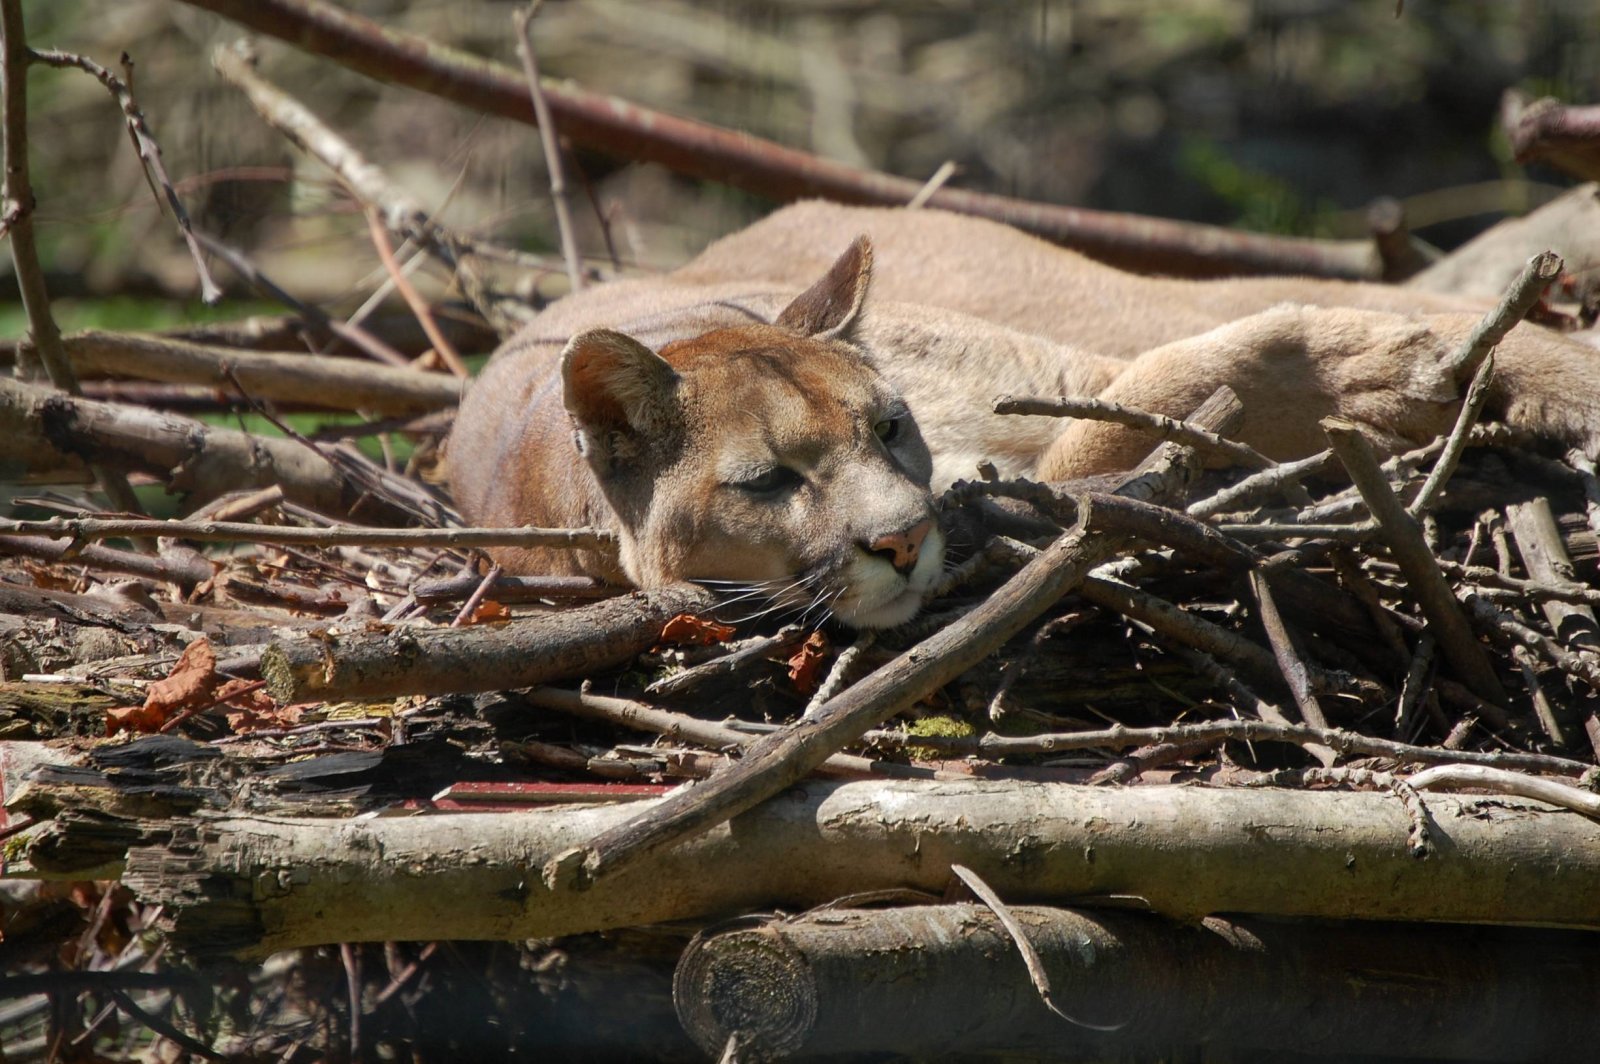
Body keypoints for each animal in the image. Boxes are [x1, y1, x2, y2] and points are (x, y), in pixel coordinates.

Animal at [441, 201, 1600, 624]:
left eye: (887, 426)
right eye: (767, 482)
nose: (900, 540)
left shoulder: (1059, 364)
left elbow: (1142, 394)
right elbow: (1114, 439)